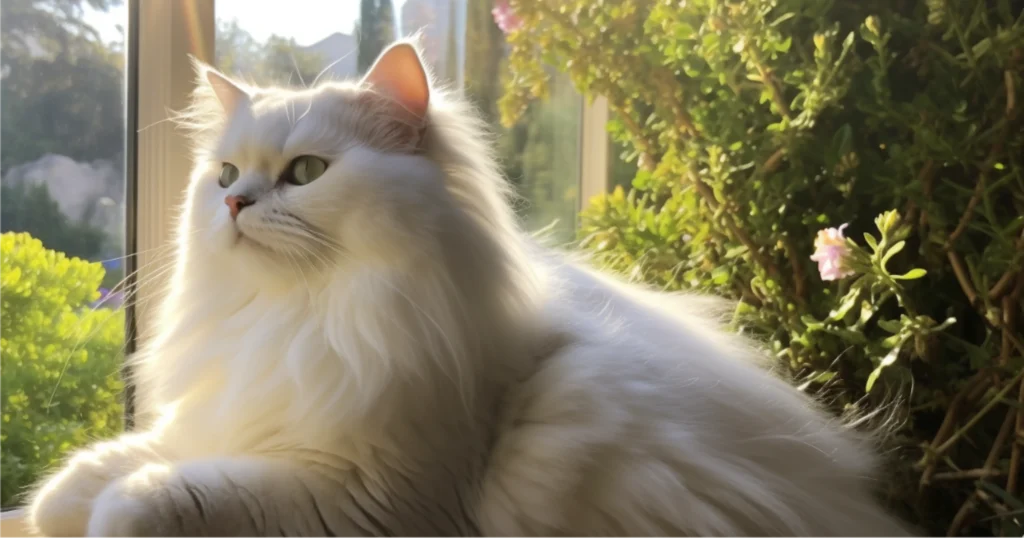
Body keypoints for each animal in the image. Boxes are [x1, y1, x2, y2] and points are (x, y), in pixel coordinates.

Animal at [28, 42, 917, 536]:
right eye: (221, 176)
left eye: (306, 173)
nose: (236, 204)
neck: (305, 318)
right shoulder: (234, 418)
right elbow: (91, 475)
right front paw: (56, 502)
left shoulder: (366, 501)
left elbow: (152, 498)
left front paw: (111, 512)